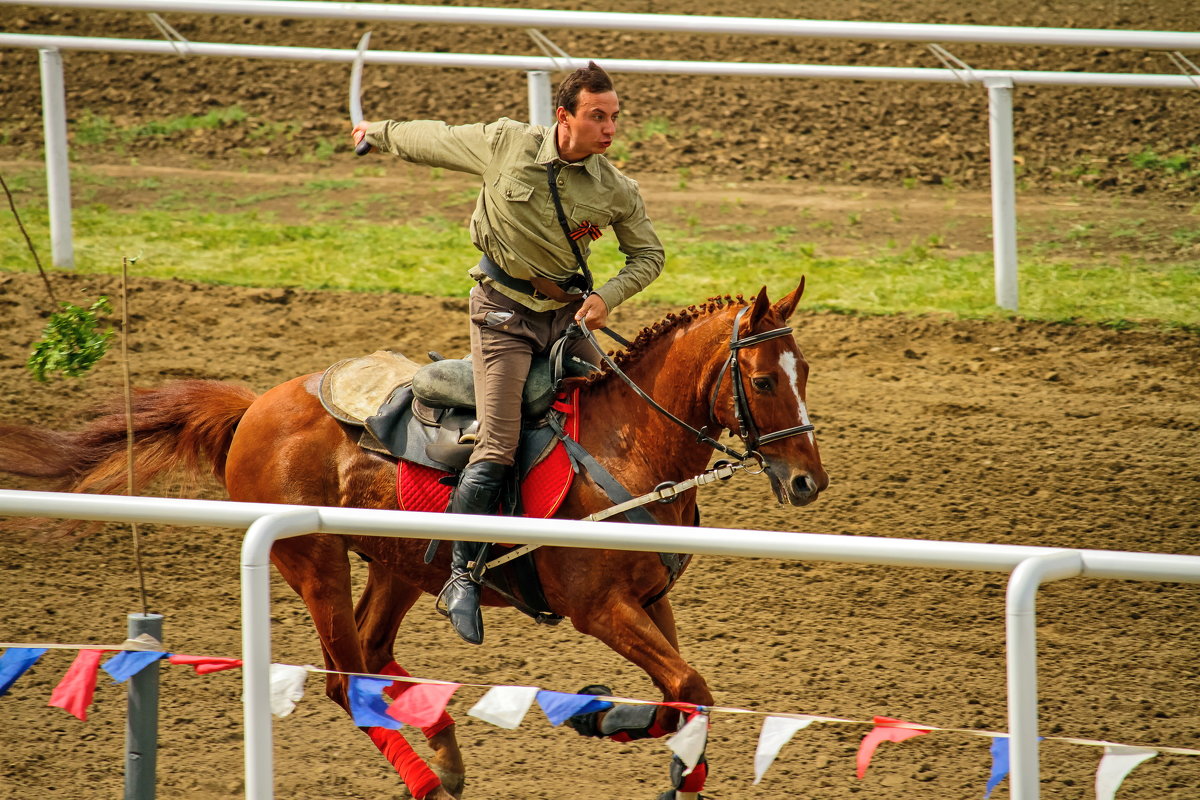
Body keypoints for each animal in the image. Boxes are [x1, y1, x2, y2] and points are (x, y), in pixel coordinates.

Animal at [0, 281, 825, 796]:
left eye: (806, 370)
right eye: (762, 378)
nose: (808, 481)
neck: (626, 445)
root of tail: (255, 406)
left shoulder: (653, 602)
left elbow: (687, 693)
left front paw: (619, 726)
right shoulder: (600, 610)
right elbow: (688, 688)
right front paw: (603, 715)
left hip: (398, 564)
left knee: (373, 653)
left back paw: (444, 746)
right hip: (315, 562)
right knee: (344, 677)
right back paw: (427, 778)